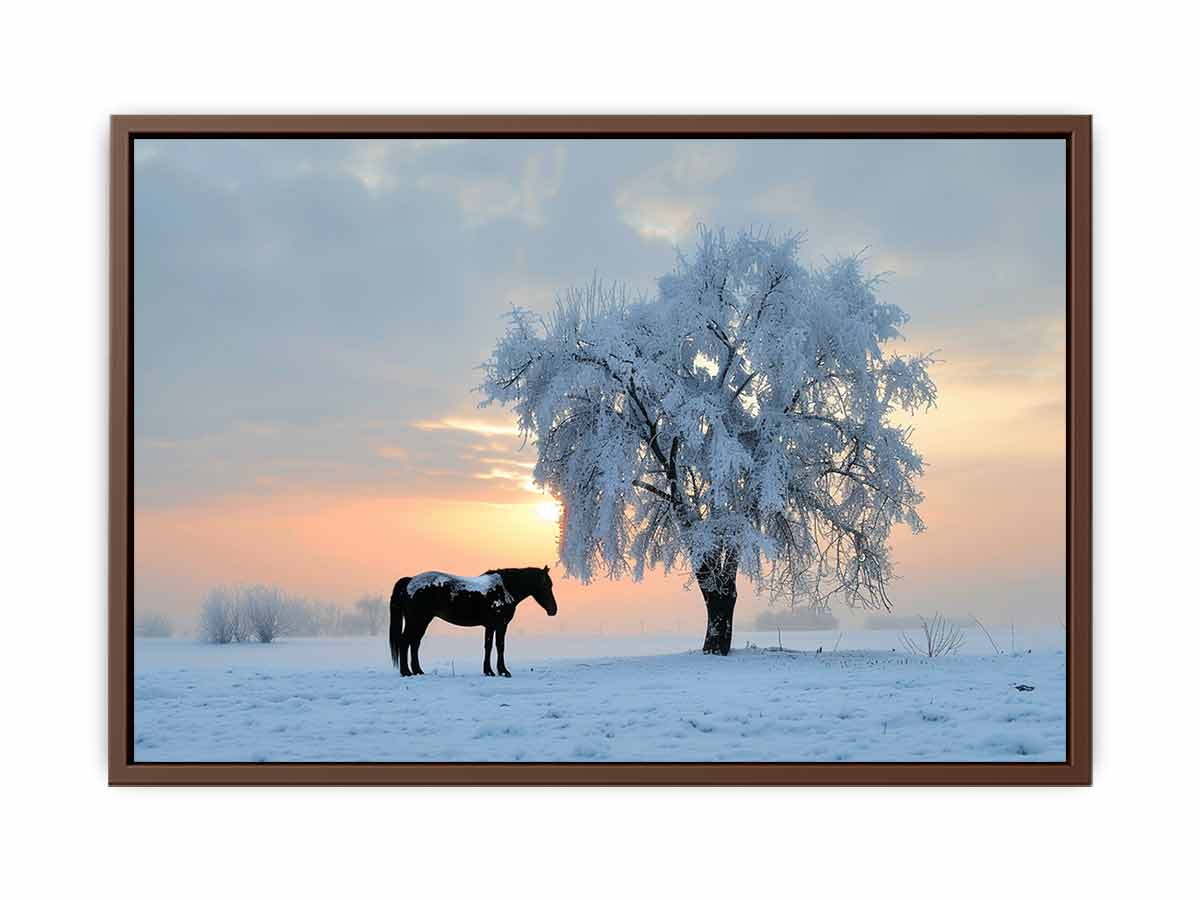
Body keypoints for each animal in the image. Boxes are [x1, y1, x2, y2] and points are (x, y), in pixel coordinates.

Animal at [389, 566, 557, 677]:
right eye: (546, 585)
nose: (553, 610)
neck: (504, 589)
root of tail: (410, 581)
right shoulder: (500, 625)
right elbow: (499, 646)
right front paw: (501, 671)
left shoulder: (491, 626)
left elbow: (490, 646)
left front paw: (490, 670)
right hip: (417, 621)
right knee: (405, 642)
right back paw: (406, 672)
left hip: (422, 621)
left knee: (414, 643)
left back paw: (418, 671)